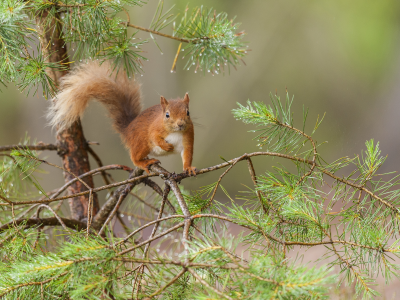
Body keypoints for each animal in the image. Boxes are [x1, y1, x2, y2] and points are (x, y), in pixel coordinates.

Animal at [49, 61, 196, 175]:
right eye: (167, 115)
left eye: (188, 112)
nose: (180, 124)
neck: (175, 132)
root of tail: (128, 129)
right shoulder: (155, 128)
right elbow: (154, 137)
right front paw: (165, 146)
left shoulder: (188, 137)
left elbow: (187, 155)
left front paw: (188, 168)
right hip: (141, 143)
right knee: (134, 157)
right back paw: (143, 163)